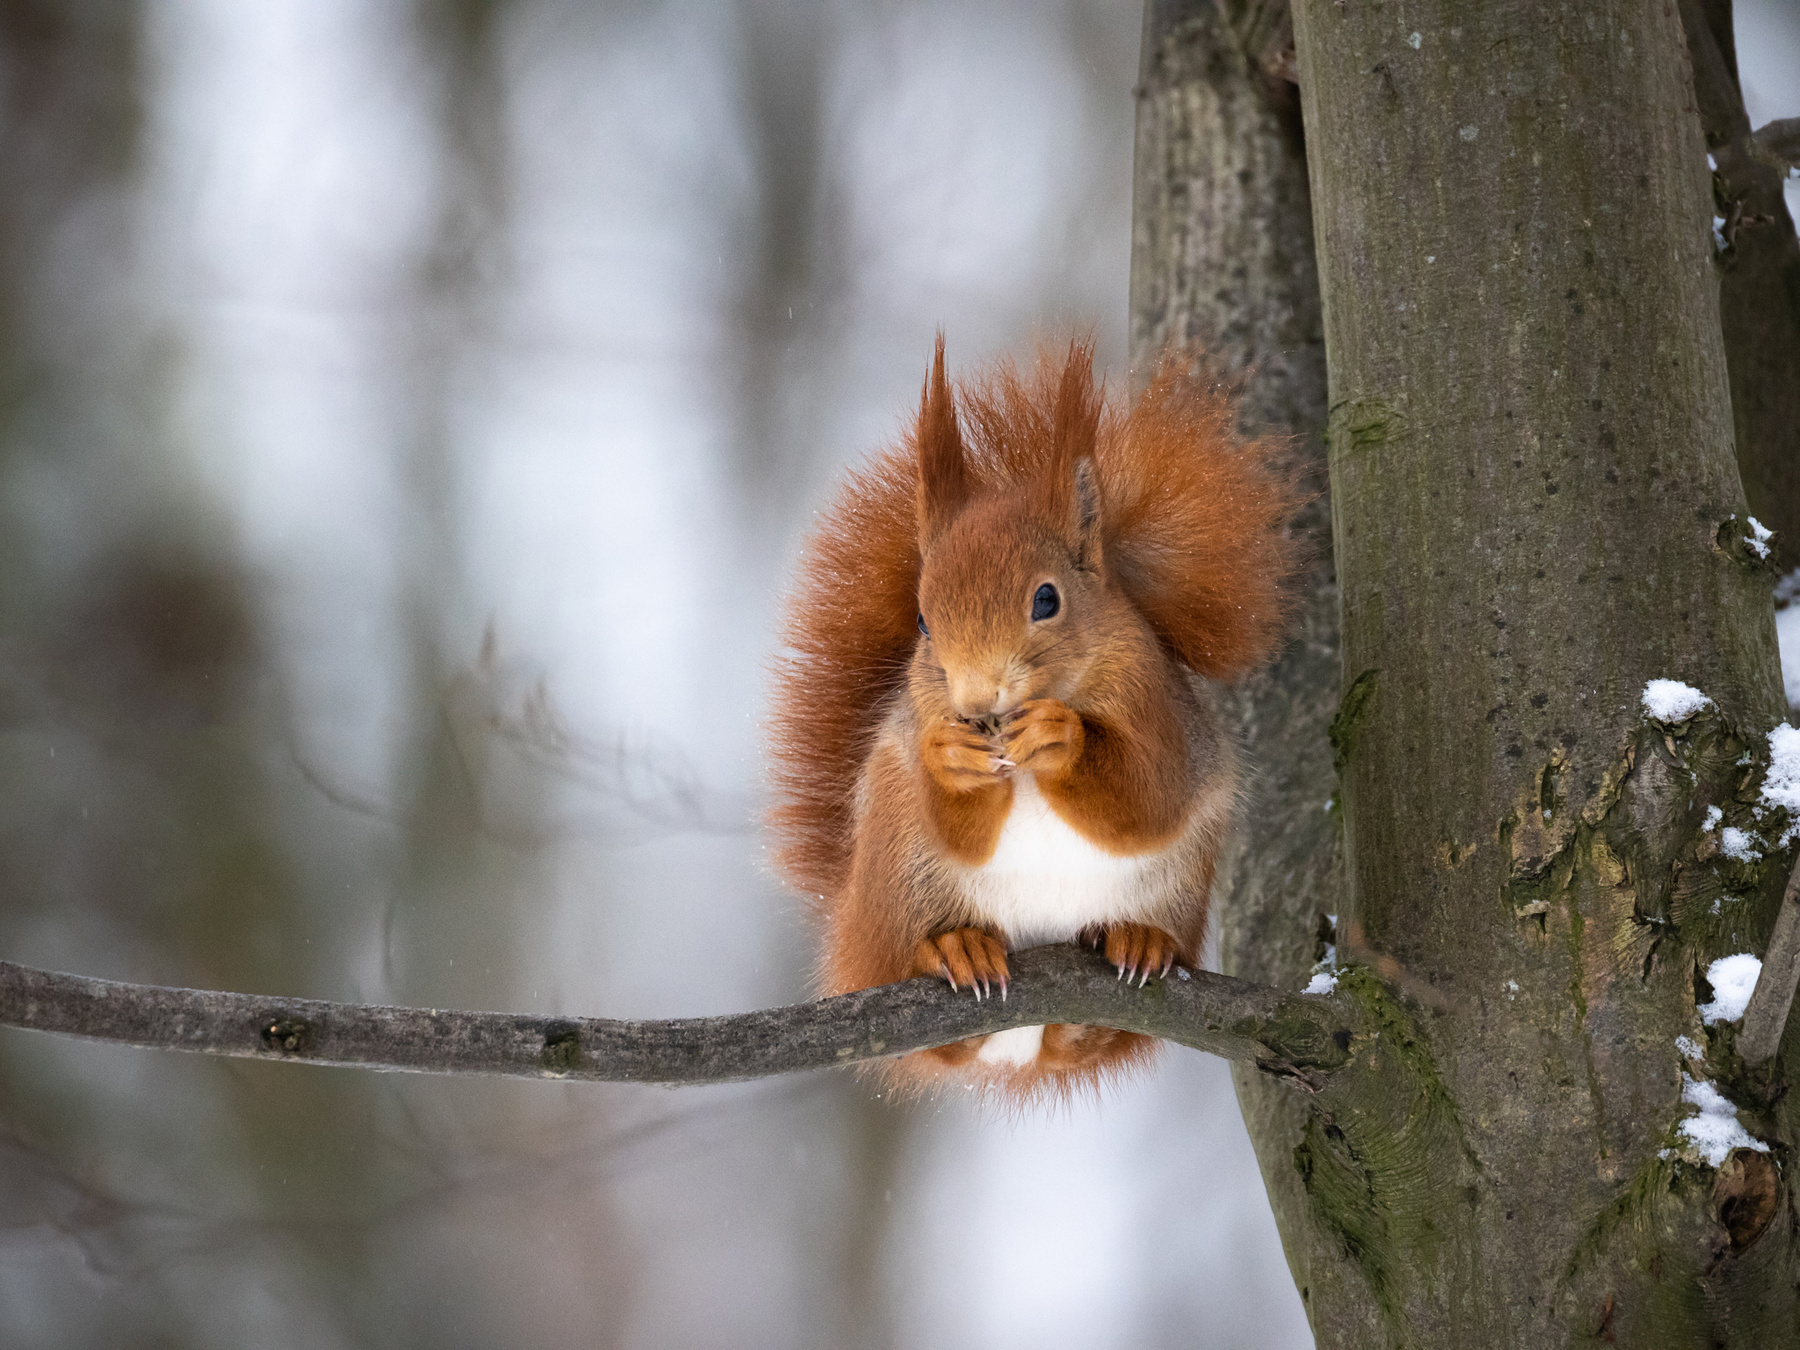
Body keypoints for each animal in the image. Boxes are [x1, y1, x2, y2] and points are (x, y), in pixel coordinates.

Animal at [768, 336, 1300, 1099]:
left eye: (1046, 599)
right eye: (922, 621)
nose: (975, 700)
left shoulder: (1158, 705)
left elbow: (1151, 796)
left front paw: (1061, 738)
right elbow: (958, 824)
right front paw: (951, 759)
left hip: (1175, 886)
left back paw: (1123, 959)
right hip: (897, 873)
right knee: (935, 1021)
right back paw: (956, 948)